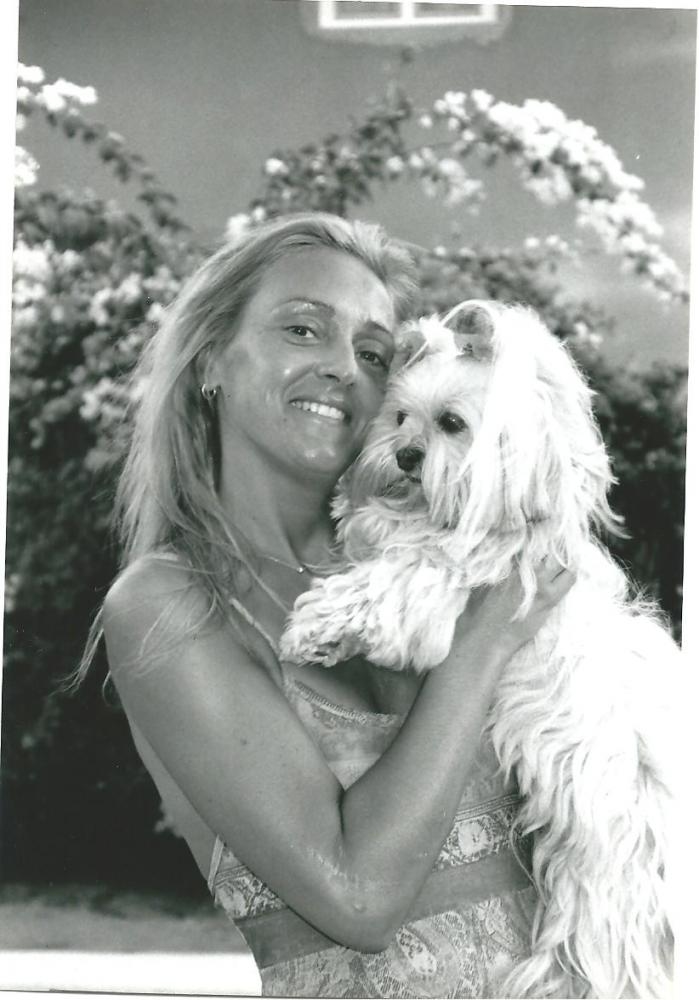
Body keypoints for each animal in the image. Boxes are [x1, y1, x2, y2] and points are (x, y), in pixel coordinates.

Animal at [279, 300, 676, 998]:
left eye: (452, 424)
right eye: (399, 417)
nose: (405, 454)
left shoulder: (446, 582)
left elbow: (386, 584)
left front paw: (314, 627)